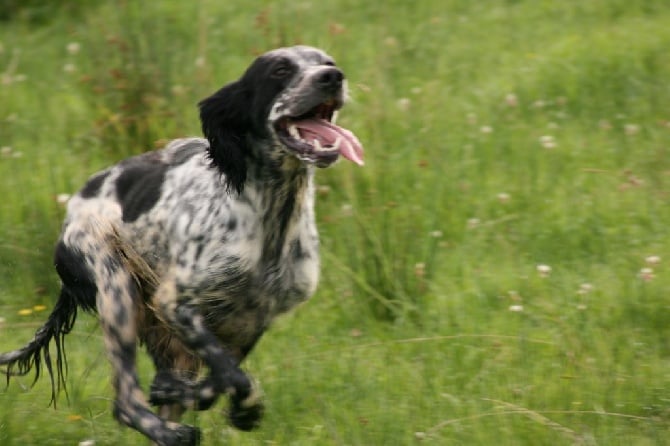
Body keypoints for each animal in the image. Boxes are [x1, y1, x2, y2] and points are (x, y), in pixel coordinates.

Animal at [0, 44, 364, 446]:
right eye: (280, 70)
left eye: (327, 63)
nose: (332, 78)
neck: (271, 214)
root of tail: (70, 213)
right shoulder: (174, 303)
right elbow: (234, 377)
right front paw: (245, 409)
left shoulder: (251, 320)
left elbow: (220, 379)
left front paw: (185, 393)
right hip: (117, 289)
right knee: (125, 401)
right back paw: (171, 431)